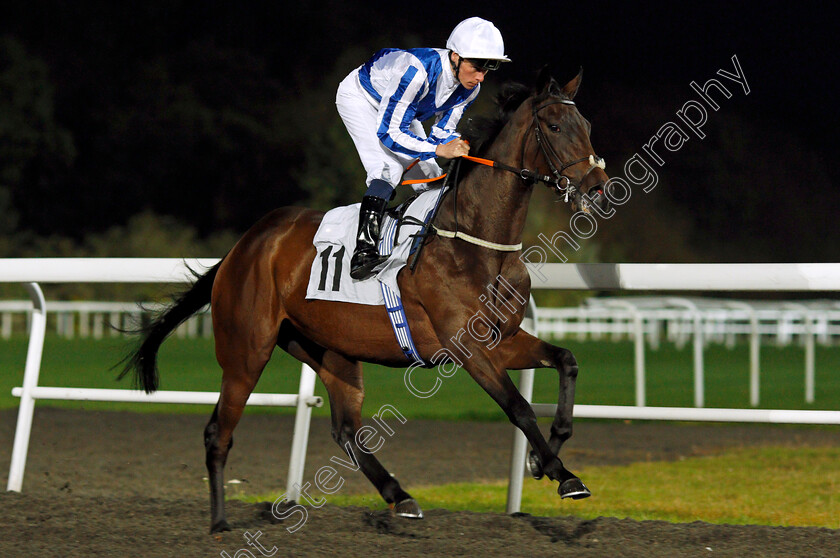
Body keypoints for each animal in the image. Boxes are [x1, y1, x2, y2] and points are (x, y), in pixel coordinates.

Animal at [120, 65, 604, 532]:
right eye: (555, 126)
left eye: (586, 124)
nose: (597, 185)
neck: (477, 241)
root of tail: (245, 245)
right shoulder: (466, 347)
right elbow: (519, 407)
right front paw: (564, 475)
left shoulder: (502, 339)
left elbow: (567, 361)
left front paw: (544, 456)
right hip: (246, 350)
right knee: (218, 430)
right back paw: (220, 521)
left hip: (329, 350)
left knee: (347, 431)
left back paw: (400, 495)